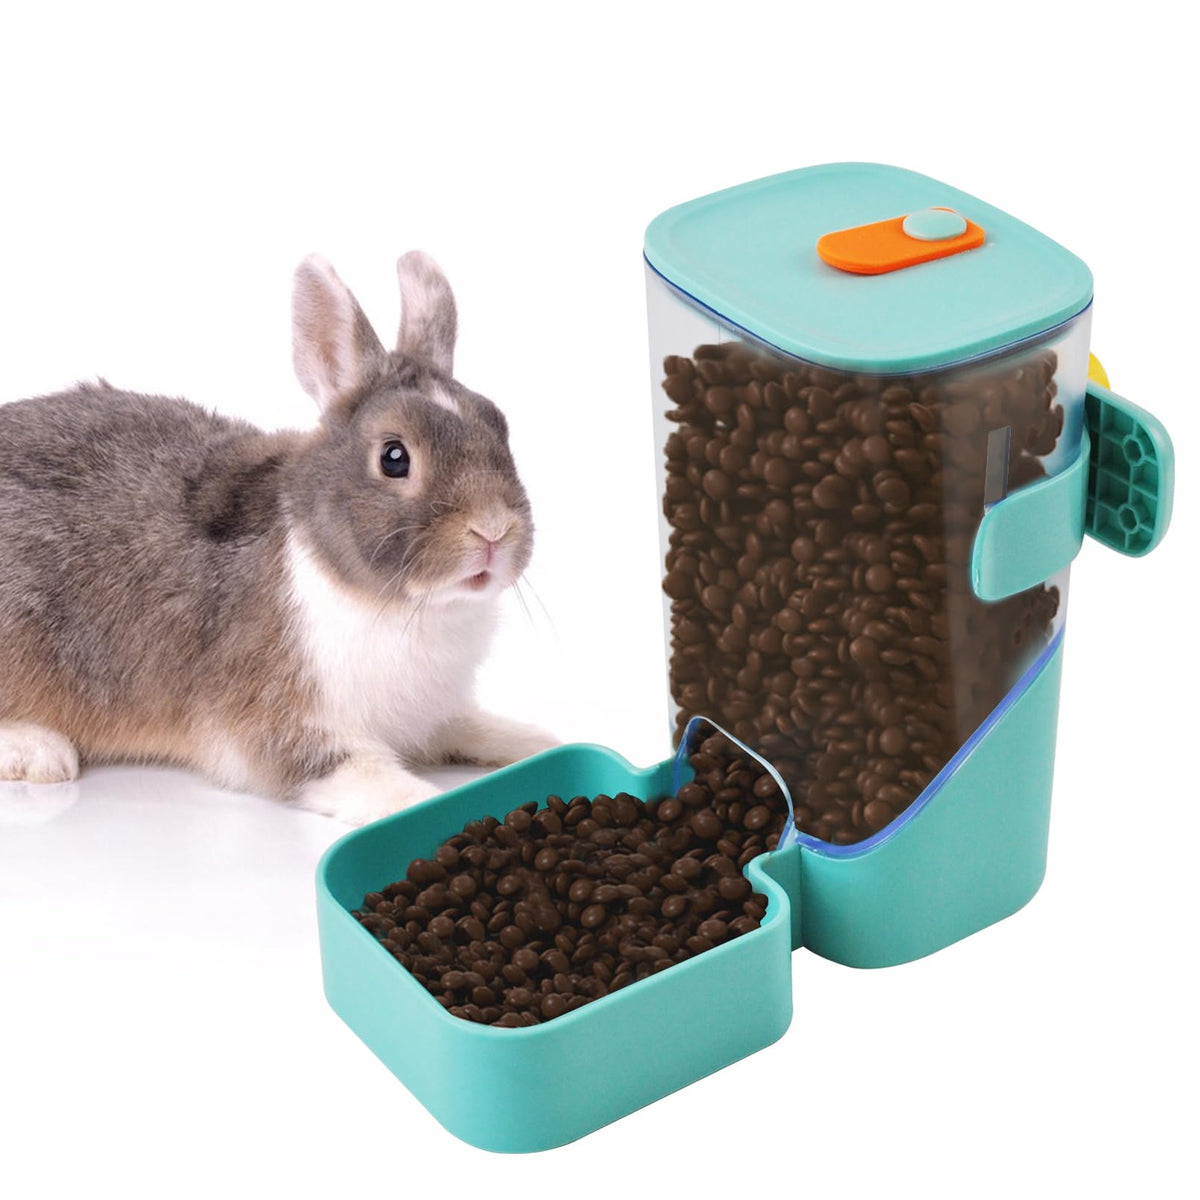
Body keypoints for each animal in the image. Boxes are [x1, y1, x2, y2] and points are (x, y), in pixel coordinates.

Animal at [0, 251, 557, 824]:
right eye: (394, 457)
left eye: (499, 426)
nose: (493, 530)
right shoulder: (282, 722)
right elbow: (353, 770)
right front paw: (423, 805)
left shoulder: (433, 715)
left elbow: (470, 725)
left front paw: (537, 743)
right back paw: (39, 751)